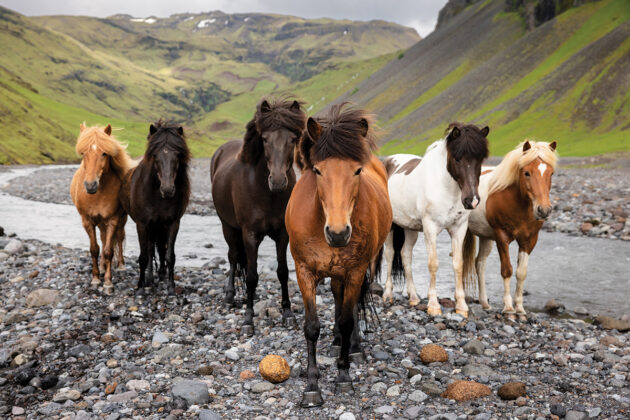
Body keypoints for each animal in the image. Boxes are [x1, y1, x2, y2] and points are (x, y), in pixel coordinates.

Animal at [70, 124, 136, 294]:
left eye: (104, 153)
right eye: (83, 153)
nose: (90, 185)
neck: (98, 194)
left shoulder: (113, 219)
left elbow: (108, 251)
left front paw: (107, 283)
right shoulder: (87, 221)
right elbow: (95, 249)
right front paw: (95, 279)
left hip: (120, 220)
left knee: (119, 237)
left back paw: (120, 266)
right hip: (99, 222)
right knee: (103, 238)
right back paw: (101, 266)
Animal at [288, 103, 396, 408]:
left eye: (357, 171)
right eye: (317, 170)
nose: (338, 233)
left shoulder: (355, 270)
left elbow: (348, 320)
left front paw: (344, 376)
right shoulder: (303, 271)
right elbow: (312, 327)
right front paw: (312, 386)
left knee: (350, 305)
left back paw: (352, 347)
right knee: (337, 297)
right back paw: (336, 342)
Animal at [382, 123, 492, 316]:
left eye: (480, 159)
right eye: (457, 159)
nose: (472, 200)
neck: (446, 188)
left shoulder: (459, 228)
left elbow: (458, 264)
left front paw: (461, 307)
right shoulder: (430, 228)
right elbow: (433, 264)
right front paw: (433, 306)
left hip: (410, 228)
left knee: (405, 254)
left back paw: (414, 297)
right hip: (391, 225)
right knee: (390, 254)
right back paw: (388, 295)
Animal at [462, 139, 560, 320]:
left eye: (551, 173)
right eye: (527, 173)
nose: (543, 210)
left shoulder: (529, 240)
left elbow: (521, 273)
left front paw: (520, 308)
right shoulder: (502, 237)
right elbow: (507, 270)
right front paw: (508, 308)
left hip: (486, 237)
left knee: (480, 263)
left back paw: (485, 303)